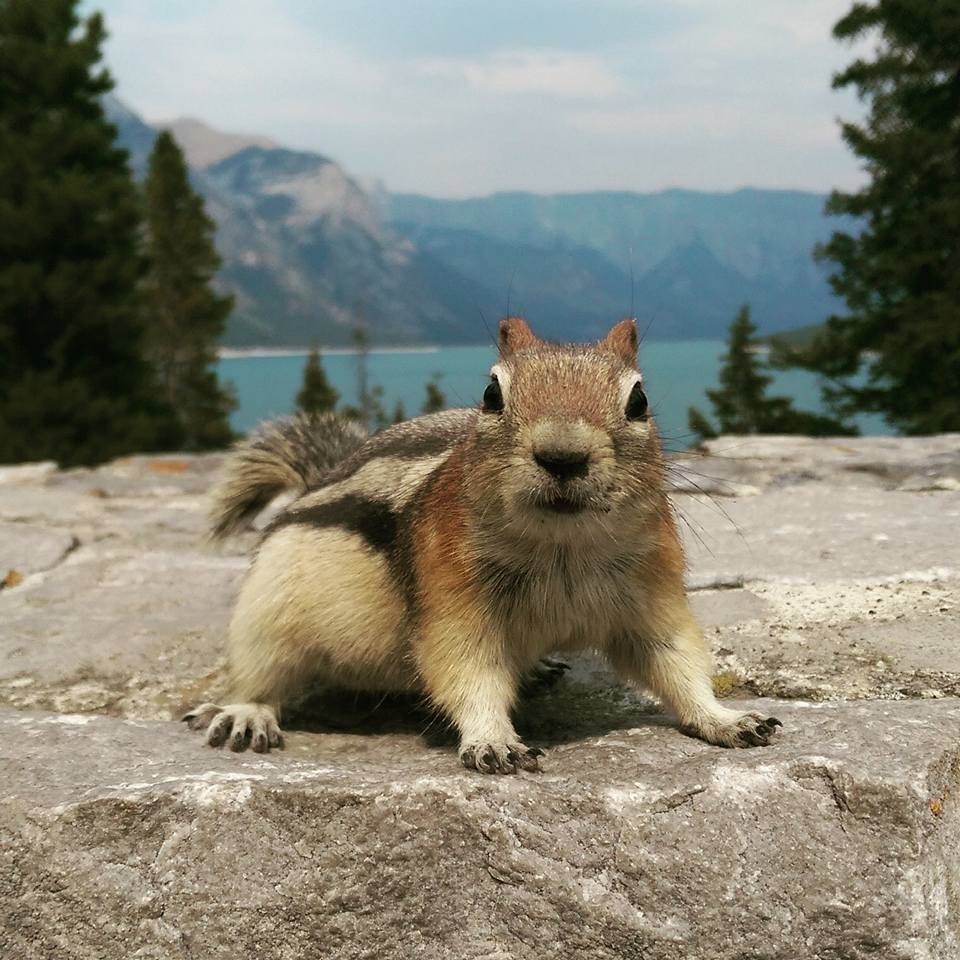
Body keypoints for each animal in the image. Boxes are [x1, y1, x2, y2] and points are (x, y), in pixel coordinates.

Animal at [184, 316, 784, 772]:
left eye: (638, 400)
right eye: (492, 394)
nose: (562, 455)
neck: (562, 550)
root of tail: (318, 481)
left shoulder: (652, 595)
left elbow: (679, 661)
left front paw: (729, 719)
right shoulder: (453, 601)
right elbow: (466, 670)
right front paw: (493, 741)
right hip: (265, 615)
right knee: (258, 674)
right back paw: (245, 715)